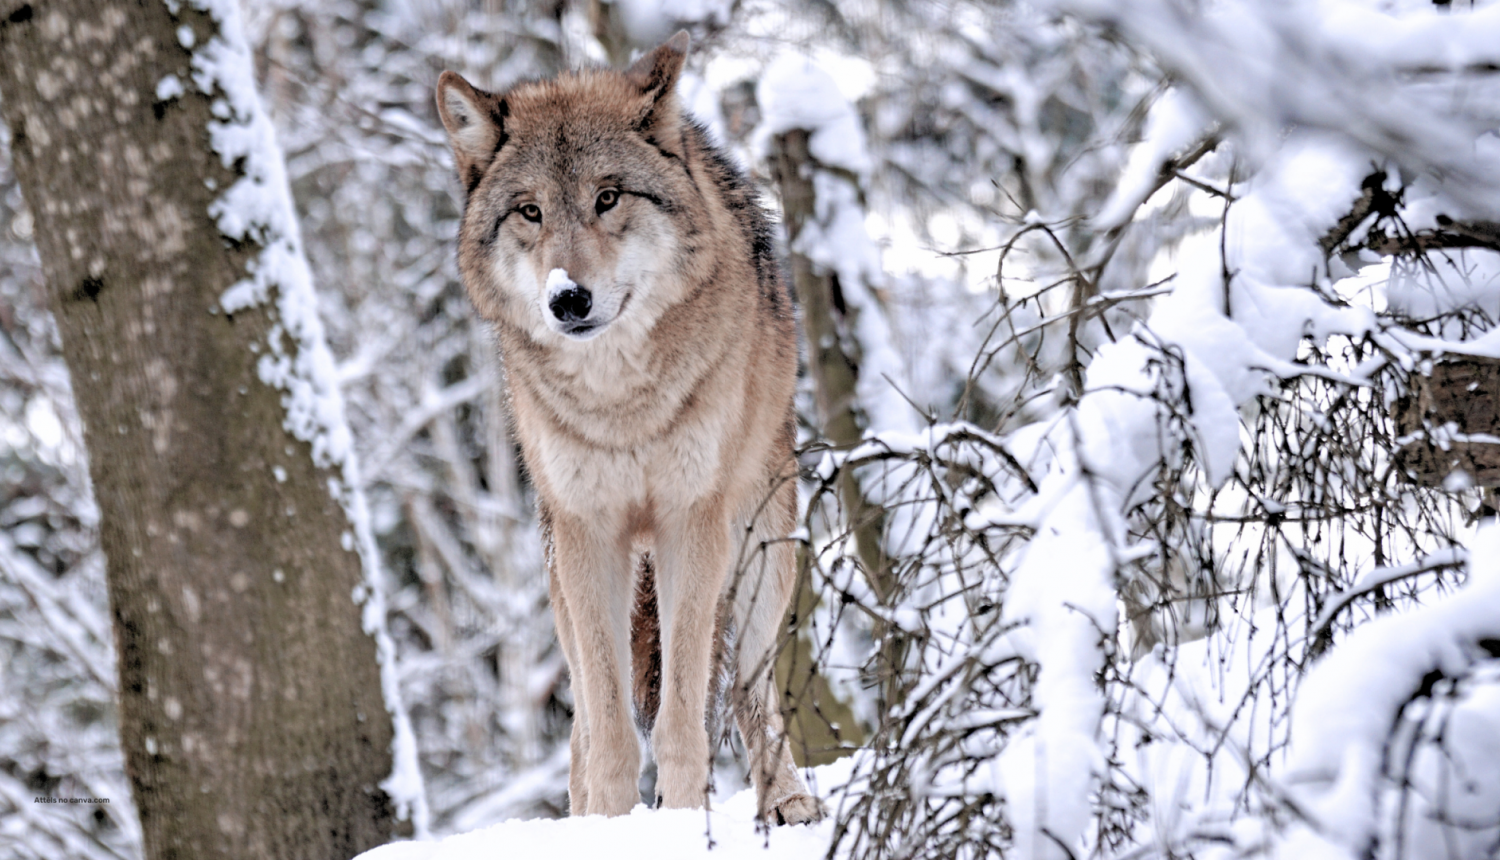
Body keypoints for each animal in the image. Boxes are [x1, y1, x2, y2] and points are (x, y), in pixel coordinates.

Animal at [438, 31, 822, 822]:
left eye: (607, 197)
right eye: (530, 212)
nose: (568, 299)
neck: (621, 405)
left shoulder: (689, 520)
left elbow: (681, 710)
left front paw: (681, 817)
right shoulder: (589, 534)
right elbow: (610, 723)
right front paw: (611, 825)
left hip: (764, 555)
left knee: (749, 690)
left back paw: (786, 801)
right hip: (562, 577)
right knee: (583, 721)